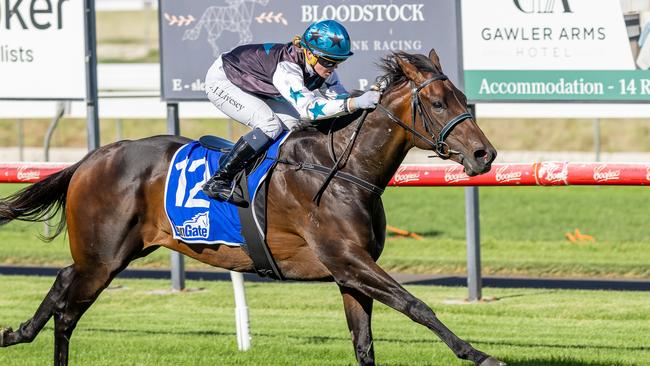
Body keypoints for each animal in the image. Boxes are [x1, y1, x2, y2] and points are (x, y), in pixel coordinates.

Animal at [0, 50, 502, 364]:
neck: (341, 168)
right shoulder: (347, 260)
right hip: (103, 258)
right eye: (437, 102)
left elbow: (365, 344)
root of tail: (93, 157)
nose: (485, 154)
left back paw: (15, 332)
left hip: (110, 253)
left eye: (461, 97)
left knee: (62, 282)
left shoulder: (351, 273)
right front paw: (479, 353)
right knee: (68, 313)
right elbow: (417, 305)